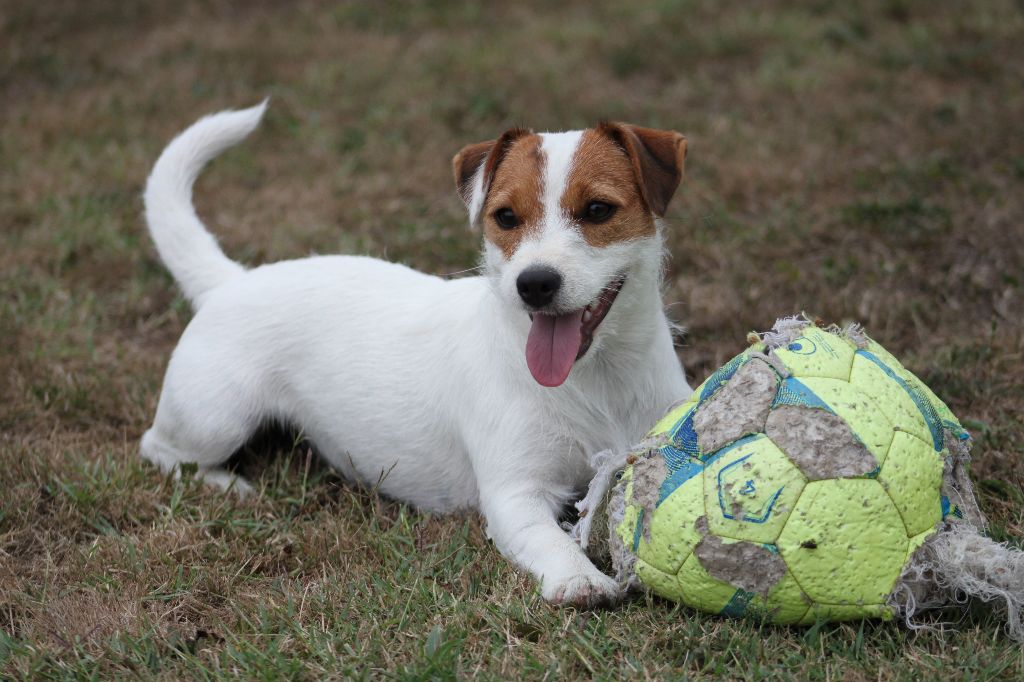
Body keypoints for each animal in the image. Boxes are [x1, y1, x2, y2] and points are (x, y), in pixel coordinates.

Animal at [140, 100, 692, 602]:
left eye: (598, 210)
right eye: (505, 217)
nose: (533, 283)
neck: (598, 380)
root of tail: (231, 280)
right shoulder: (515, 495)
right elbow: (549, 539)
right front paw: (581, 579)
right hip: (215, 417)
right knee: (160, 450)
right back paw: (224, 484)